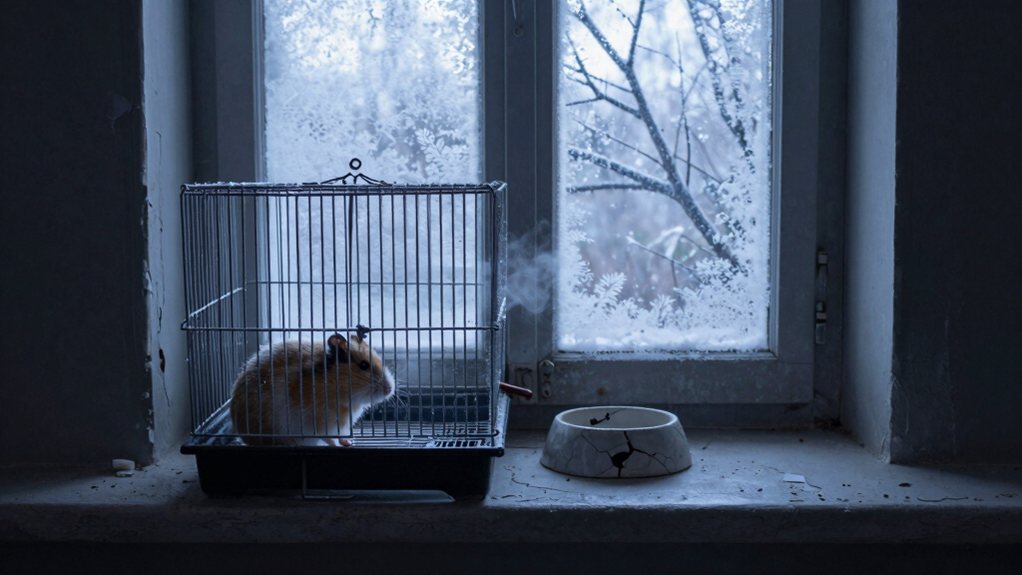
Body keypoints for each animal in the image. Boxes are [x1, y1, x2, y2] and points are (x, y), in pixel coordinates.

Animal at [229, 333, 395, 446]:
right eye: (364, 365)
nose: (389, 389)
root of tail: (242, 433)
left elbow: (340, 437)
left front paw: (349, 442)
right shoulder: (320, 424)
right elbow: (329, 439)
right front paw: (339, 446)